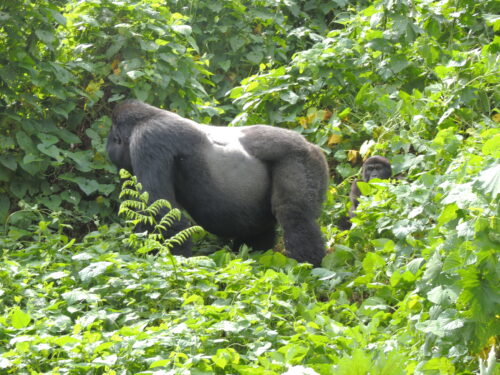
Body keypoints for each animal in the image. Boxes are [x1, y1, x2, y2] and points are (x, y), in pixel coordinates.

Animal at [107, 98, 330, 266]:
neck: (148, 116)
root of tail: (313, 147)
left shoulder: (148, 140)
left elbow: (162, 214)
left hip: (300, 159)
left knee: (294, 216)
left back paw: (307, 266)